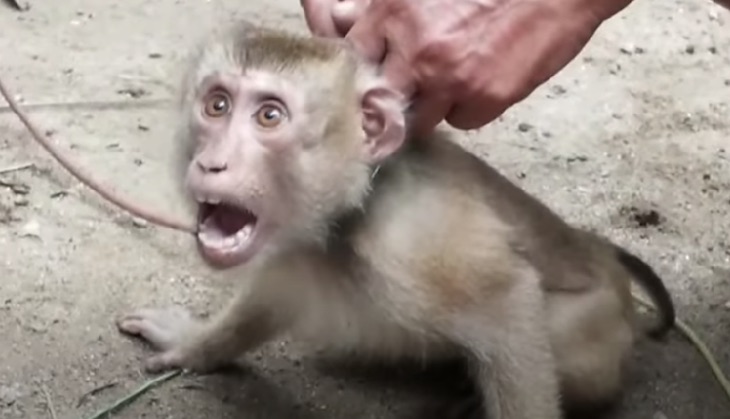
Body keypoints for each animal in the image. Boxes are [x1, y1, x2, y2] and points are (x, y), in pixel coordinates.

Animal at [115, 21, 675, 419]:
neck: (348, 213)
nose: (213, 163)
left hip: (596, 332)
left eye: (269, 116)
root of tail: (599, 251)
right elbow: (269, 299)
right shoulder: (298, 246)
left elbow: (511, 302)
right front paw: (194, 344)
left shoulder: (415, 245)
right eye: (217, 105)